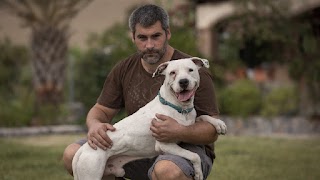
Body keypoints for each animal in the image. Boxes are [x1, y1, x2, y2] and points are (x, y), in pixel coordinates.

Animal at [73, 57, 226, 180]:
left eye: (190, 70)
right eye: (172, 73)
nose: (183, 82)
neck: (179, 108)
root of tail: (83, 149)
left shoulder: (189, 124)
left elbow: (203, 117)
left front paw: (219, 124)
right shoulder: (165, 145)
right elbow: (195, 155)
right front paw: (198, 172)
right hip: (91, 173)